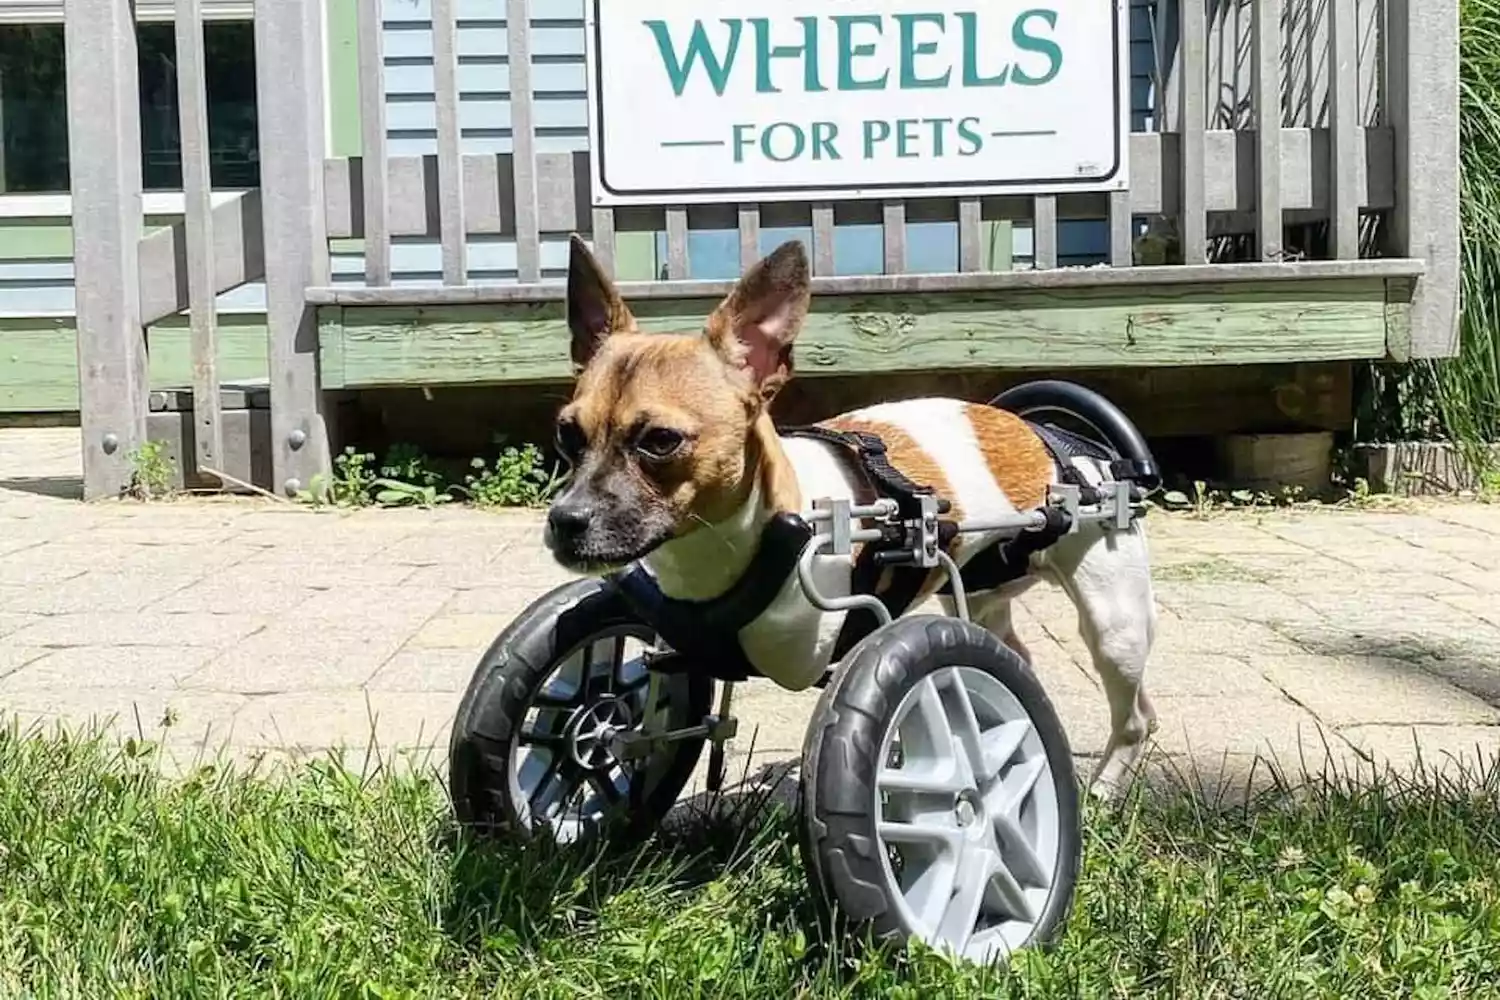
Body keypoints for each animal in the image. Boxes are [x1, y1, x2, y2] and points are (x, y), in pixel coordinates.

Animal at [543, 232, 1158, 797]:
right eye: (566, 433)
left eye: (661, 441)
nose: (564, 520)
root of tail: (1064, 442)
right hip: (986, 598)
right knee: (1020, 658)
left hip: (1114, 625)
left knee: (1134, 717)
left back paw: (1104, 789)